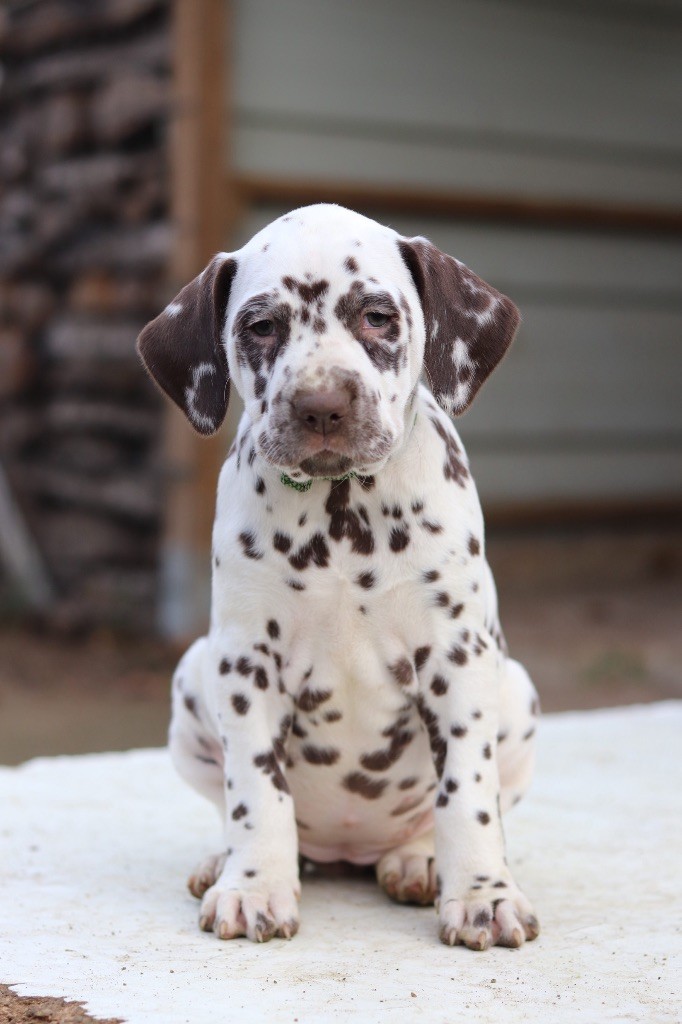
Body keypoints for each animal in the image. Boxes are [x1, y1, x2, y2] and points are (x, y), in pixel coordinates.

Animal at [137, 204, 540, 950]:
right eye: (261, 326)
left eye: (377, 317)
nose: (321, 404)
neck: (341, 514)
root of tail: (349, 850)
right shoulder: (244, 664)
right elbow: (256, 791)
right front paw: (253, 885)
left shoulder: (457, 658)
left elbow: (468, 795)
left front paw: (482, 894)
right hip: (191, 680)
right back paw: (222, 863)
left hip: (516, 694)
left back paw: (418, 860)